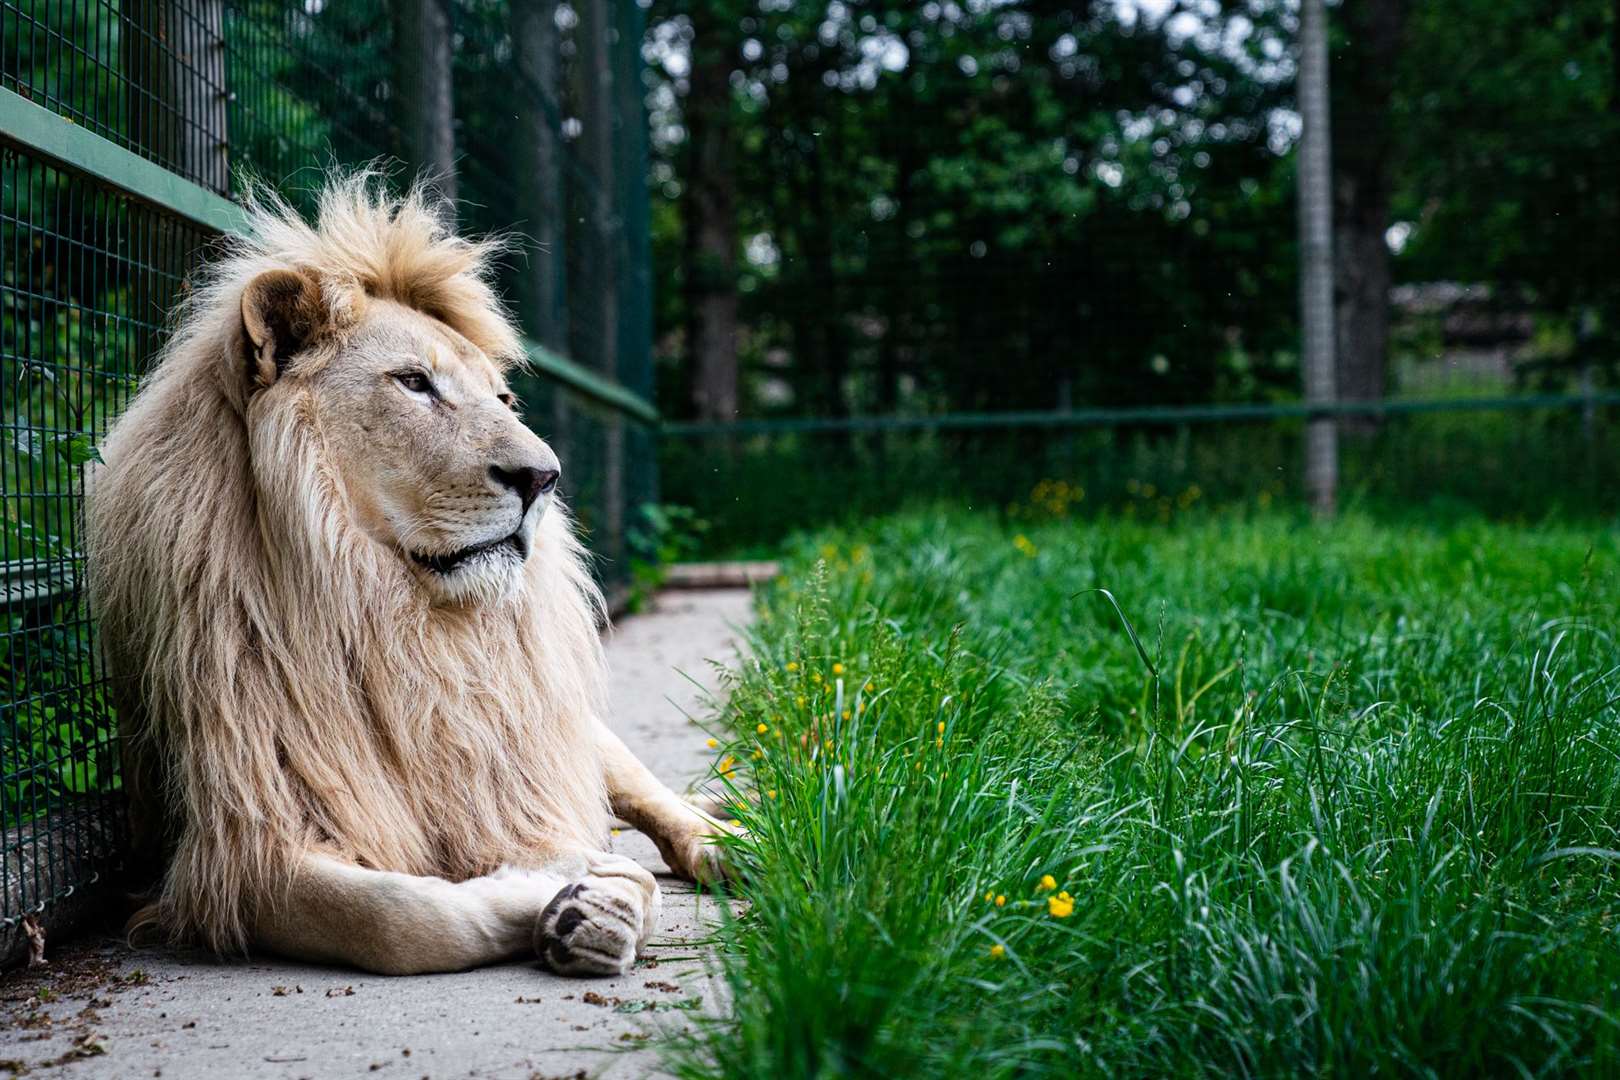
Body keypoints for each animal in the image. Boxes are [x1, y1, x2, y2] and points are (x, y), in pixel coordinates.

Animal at [82, 173, 729, 977]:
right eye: (415, 383)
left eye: (503, 399)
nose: (544, 477)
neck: (387, 612)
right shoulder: (242, 840)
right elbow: (401, 919)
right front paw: (573, 894)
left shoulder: (508, 774)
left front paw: (600, 889)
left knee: (658, 799)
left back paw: (740, 842)